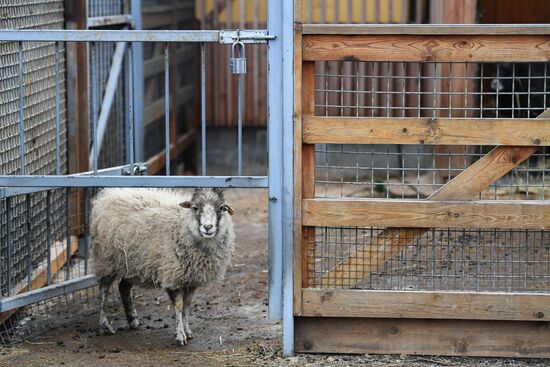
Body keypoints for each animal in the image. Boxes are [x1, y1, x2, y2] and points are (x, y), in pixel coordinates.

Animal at [91, 188, 237, 346]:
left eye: (221, 208)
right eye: (195, 207)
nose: (208, 227)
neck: (183, 226)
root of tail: (109, 194)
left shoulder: (191, 280)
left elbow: (187, 305)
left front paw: (187, 331)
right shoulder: (174, 276)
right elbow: (179, 306)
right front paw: (180, 335)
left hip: (131, 264)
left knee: (123, 287)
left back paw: (133, 320)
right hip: (107, 260)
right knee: (104, 289)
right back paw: (104, 325)